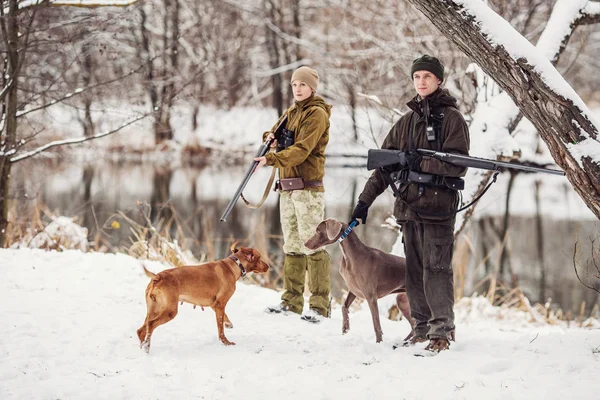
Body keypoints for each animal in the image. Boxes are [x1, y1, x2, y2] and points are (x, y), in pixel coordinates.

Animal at [137, 242, 268, 352]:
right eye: (260, 258)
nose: (268, 266)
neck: (234, 265)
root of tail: (157, 277)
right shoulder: (220, 304)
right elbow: (220, 329)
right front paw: (226, 342)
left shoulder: (214, 304)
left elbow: (224, 318)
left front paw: (228, 324)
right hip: (170, 311)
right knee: (151, 325)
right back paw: (147, 347)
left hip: (154, 309)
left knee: (141, 330)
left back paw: (143, 347)